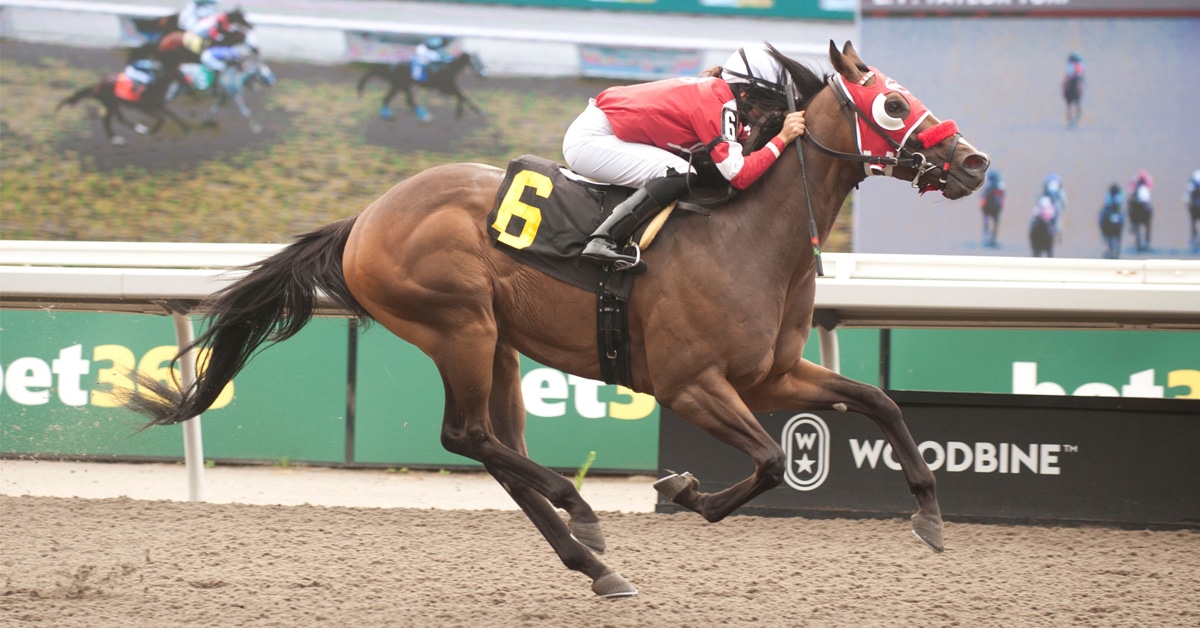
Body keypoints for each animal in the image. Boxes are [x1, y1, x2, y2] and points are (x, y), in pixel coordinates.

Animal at [57, 64, 189, 145]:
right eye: (180, 73)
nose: (188, 80)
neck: (155, 86)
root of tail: (97, 87)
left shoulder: (159, 104)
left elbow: (172, 114)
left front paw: (186, 128)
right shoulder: (146, 107)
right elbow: (162, 118)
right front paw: (151, 131)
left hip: (116, 104)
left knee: (121, 118)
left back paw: (139, 128)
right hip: (111, 103)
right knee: (107, 120)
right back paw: (116, 139)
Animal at [356, 52, 487, 121]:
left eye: (480, 60)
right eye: (474, 61)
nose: (484, 73)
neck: (447, 69)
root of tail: (392, 68)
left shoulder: (451, 87)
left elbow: (464, 96)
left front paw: (477, 110)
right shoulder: (445, 88)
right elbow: (461, 96)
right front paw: (461, 112)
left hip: (403, 86)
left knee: (407, 100)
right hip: (399, 85)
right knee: (394, 98)